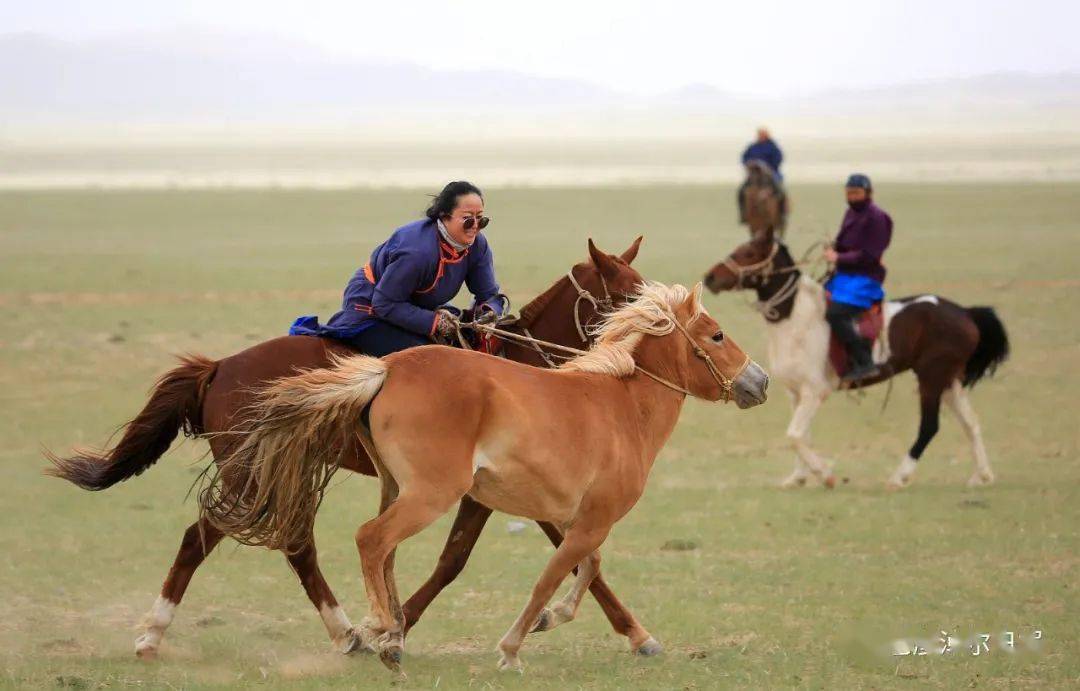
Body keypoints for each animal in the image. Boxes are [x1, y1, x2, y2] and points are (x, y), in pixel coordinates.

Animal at [46, 238, 665, 656]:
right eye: (627, 296)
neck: (521, 370)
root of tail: (218, 367)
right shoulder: (493, 492)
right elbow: (486, 557)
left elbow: (548, 553)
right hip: (251, 474)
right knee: (212, 538)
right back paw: (157, 634)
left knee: (285, 544)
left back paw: (343, 633)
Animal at [194, 278, 768, 669]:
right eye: (717, 335)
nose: (759, 381)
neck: (621, 404)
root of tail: (387, 369)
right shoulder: (588, 521)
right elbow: (552, 576)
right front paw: (513, 646)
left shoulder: (579, 519)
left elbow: (587, 570)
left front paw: (555, 621)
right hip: (430, 494)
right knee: (370, 540)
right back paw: (380, 627)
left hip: (397, 489)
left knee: (383, 551)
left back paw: (390, 631)